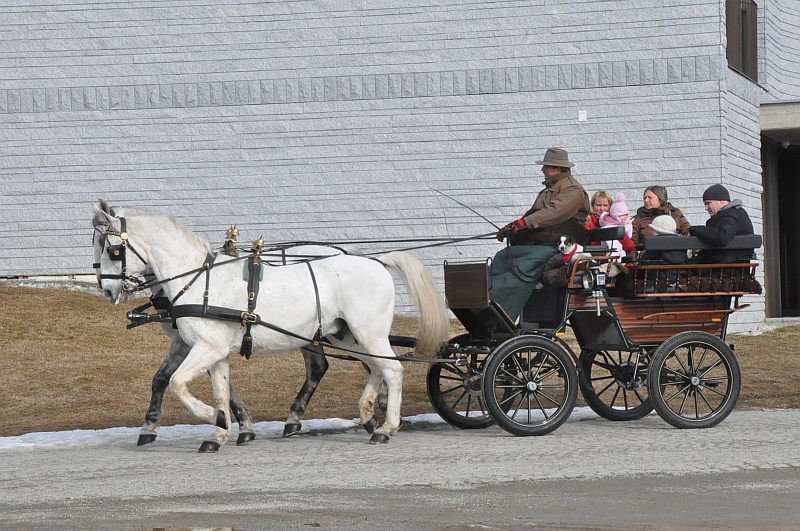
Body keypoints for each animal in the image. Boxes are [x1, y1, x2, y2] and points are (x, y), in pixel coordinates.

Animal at [94, 202, 450, 450]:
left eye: (113, 249)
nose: (107, 289)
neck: (197, 279)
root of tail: (375, 260)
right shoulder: (214, 351)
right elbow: (218, 390)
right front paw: (220, 432)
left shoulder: (207, 347)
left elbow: (177, 382)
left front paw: (217, 420)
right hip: (347, 335)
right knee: (376, 368)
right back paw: (367, 415)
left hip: (367, 332)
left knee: (392, 370)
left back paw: (385, 428)